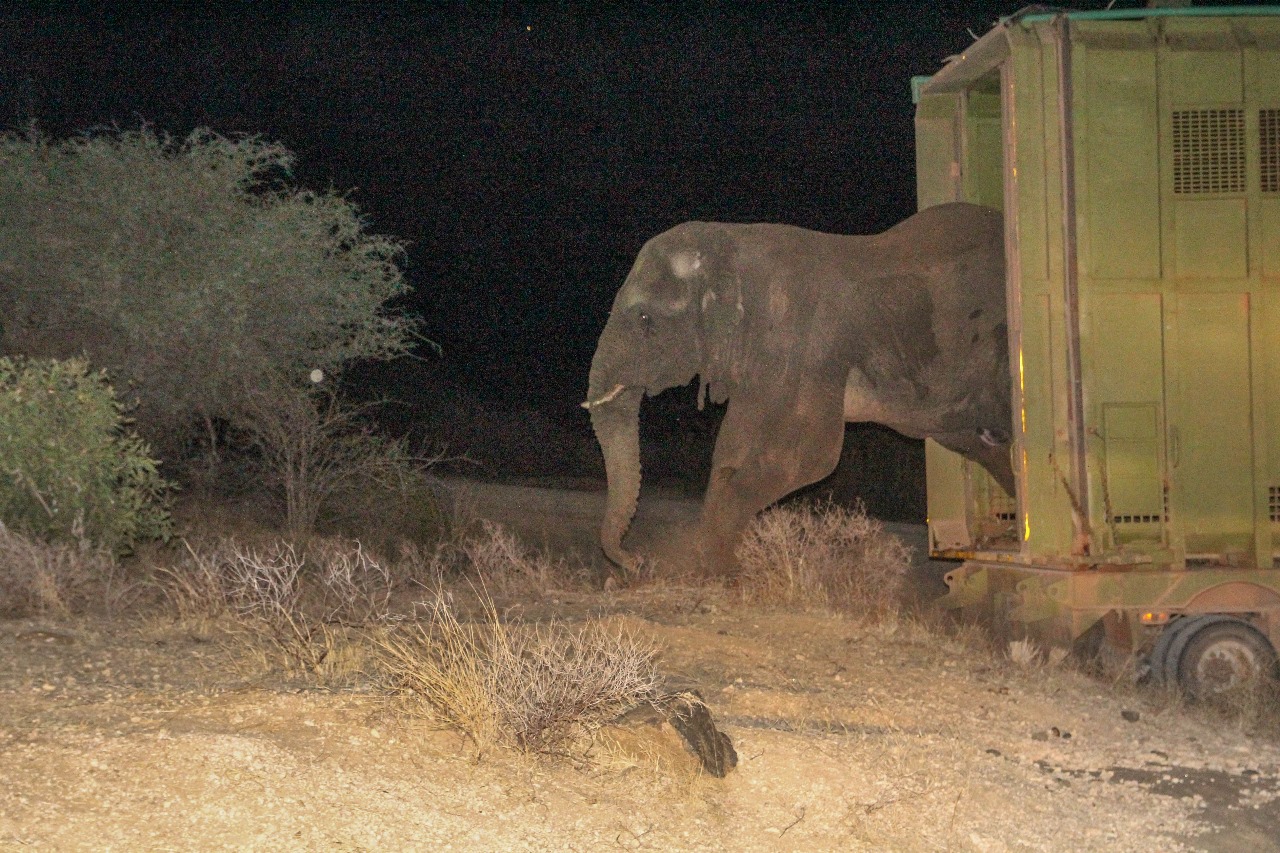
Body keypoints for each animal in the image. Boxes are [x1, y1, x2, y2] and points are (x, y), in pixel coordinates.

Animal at [583, 202, 1013, 575]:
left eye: (644, 319)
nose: (634, 560)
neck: (730, 245)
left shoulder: (807, 347)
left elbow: (804, 458)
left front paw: (716, 569)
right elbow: (732, 449)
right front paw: (711, 564)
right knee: (985, 447)